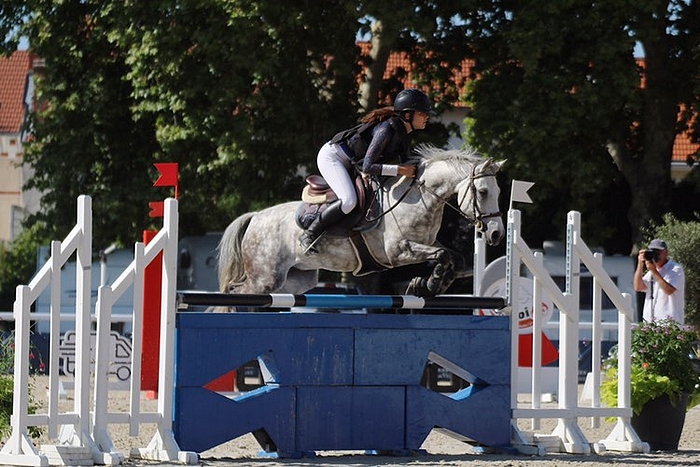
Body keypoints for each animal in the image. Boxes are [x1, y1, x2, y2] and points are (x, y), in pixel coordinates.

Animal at [217, 146, 504, 298]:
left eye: (499, 191)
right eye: (483, 192)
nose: (496, 234)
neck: (420, 197)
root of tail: (255, 217)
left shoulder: (428, 243)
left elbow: (456, 258)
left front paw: (430, 285)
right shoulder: (397, 252)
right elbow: (443, 255)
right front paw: (429, 283)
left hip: (296, 280)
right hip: (264, 278)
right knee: (235, 290)